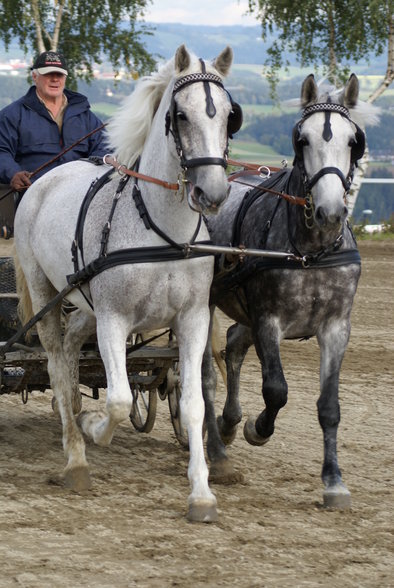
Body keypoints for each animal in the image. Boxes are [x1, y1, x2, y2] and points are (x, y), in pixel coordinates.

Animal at [13, 46, 242, 524]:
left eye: (230, 116)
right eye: (180, 114)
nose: (212, 193)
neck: (163, 233)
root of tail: (46, 178)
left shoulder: (192, 320)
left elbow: (193, 404)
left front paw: (201, 494)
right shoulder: (115, 319)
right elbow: (118, 399)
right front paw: (92, 428)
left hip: (83, 301)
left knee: (72, 347)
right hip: (47, 295)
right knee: (58, 364)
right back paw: (76, 455)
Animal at [203, 72, 378, 506]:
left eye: (354, 140)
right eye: (302, 139)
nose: (331, 212)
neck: (312, 251)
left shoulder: (336, 328)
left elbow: (329, 406)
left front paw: (333, 481)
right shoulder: (269, 320)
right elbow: (276, 390)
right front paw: (258, 429)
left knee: (233, 345)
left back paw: (228, 423)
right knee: (206, 376)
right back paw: (218, 452)